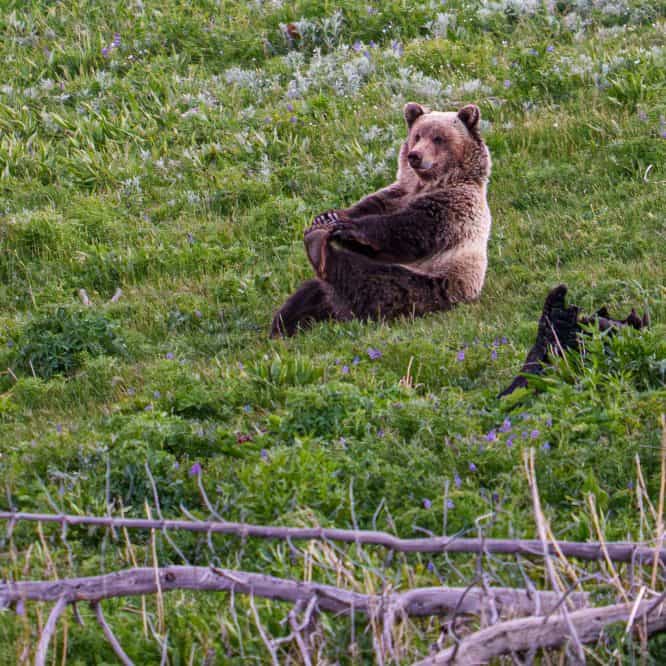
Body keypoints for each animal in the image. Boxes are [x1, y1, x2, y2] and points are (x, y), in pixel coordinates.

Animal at [271, 102, 492, 337]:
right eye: (417, 135)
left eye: (438, 138)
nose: (414, 155)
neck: (426, 184)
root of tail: (338, 313)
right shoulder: (398, 194)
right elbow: (371, 208)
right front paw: (329, 216)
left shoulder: (452, 206)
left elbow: (408, 230)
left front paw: (348, 227)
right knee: (308, 295)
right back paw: (282, 326)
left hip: (435, 284)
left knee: (375, 283)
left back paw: (320, 253)